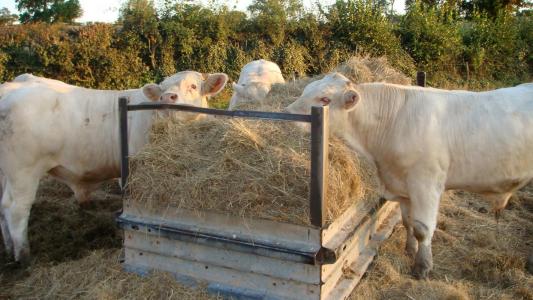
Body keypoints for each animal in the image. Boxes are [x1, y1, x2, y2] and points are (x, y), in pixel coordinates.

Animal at [0, 71, 227, 262]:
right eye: (162, 89)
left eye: (193, 86)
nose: (166, 98)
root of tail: (11, 87)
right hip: (24, 172)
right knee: (16, 209)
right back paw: (23, 256)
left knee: (2, 208)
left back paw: (9, 249)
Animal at [286, 73, 532, 278]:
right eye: (305, 90)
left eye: (324, 99)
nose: (286, 114)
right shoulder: (403, 187)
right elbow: (407, 222)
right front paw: (409, 249)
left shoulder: (426, 184)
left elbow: (423, 229)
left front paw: (422, 267)